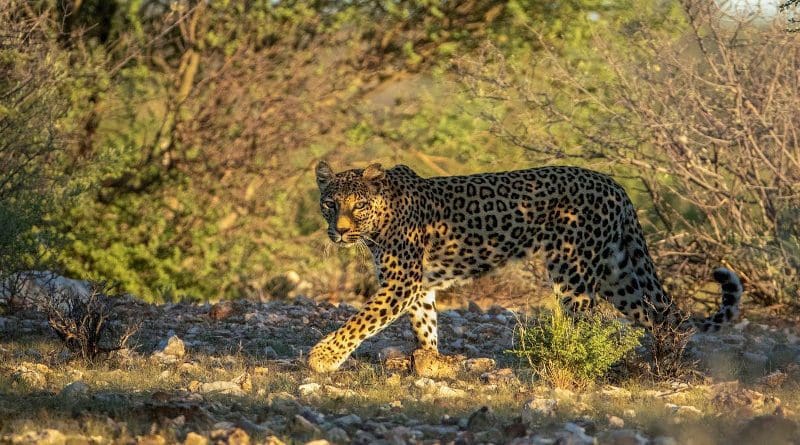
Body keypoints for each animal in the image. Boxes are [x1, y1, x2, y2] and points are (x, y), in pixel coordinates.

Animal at [307, 161, 743, 372]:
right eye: (330, 203)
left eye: (357, 205)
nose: (338, 231)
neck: (379, 221)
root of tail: (615, 186)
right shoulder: (417, 285)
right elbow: (425, 325)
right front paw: (430, 362)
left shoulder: (400, 282)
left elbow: (359, 321)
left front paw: (323, 358)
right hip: (619, 275)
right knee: (665, 315)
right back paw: (668, 364)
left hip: (574, 272)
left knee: (583, 326)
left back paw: (570, 362)